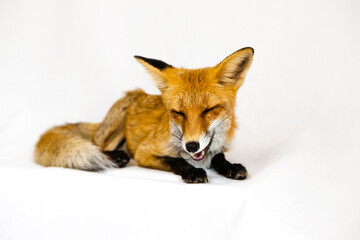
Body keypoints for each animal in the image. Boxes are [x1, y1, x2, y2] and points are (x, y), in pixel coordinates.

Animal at [33, 47, 253, 183]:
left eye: (208, 110)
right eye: (178, 113)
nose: (191, 146)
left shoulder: (217, 148)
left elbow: (219, 158)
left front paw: (230, 166)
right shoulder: (144, 152)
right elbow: (175, 161)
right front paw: (191, 171)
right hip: (121, 114)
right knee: (96, 146)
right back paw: (116, 156)